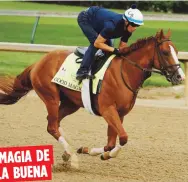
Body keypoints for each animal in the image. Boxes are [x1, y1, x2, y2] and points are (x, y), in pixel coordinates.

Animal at [0, 29, 185, 165]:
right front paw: (97, 153)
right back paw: (71, 156)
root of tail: (39, 62)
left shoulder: (119, 113)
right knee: (52, 126)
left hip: (70, 103)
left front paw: (94, 152)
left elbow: (111, 142)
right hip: (50, 96)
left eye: (177, 52)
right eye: (165, 52)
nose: (180, 77)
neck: (125, 72)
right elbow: (123, 138)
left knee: (54, 123)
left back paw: (69, 151)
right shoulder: (108, 110)